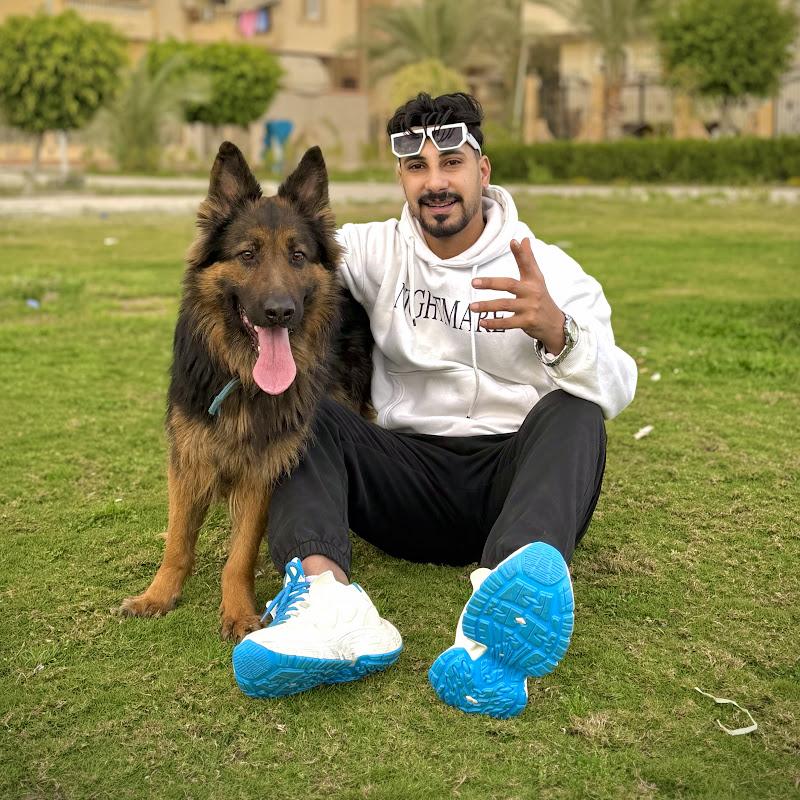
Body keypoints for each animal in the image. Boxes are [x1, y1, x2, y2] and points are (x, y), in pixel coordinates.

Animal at [120, 142, 372, 642]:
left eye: (298, 256)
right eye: (248, 254)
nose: (279, 312)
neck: (241, 374)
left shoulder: (263, 467)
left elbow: (240, 555)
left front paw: (237, 611)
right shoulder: (189, 457)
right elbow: (179, 540)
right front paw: (158, 595)